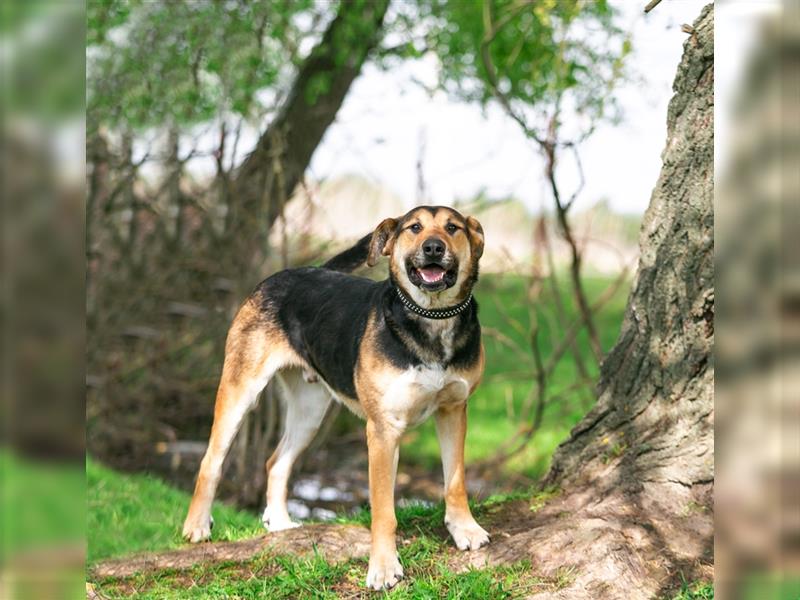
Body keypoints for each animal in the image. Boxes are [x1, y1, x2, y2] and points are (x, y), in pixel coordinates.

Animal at [184, 204, 490, 588]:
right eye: (414, 228)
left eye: (453, 228)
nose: (433, 247)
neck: (431, 319)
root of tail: (289, 273)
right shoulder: (383, 430)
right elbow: (384, 511)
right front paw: (383, 567)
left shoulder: (453, 410)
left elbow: (456, 482)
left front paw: (465, 529)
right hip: (240, 390)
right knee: (211, 460)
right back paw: (196, 526)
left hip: (310, 410)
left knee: (276, 462)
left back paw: (280, 524)